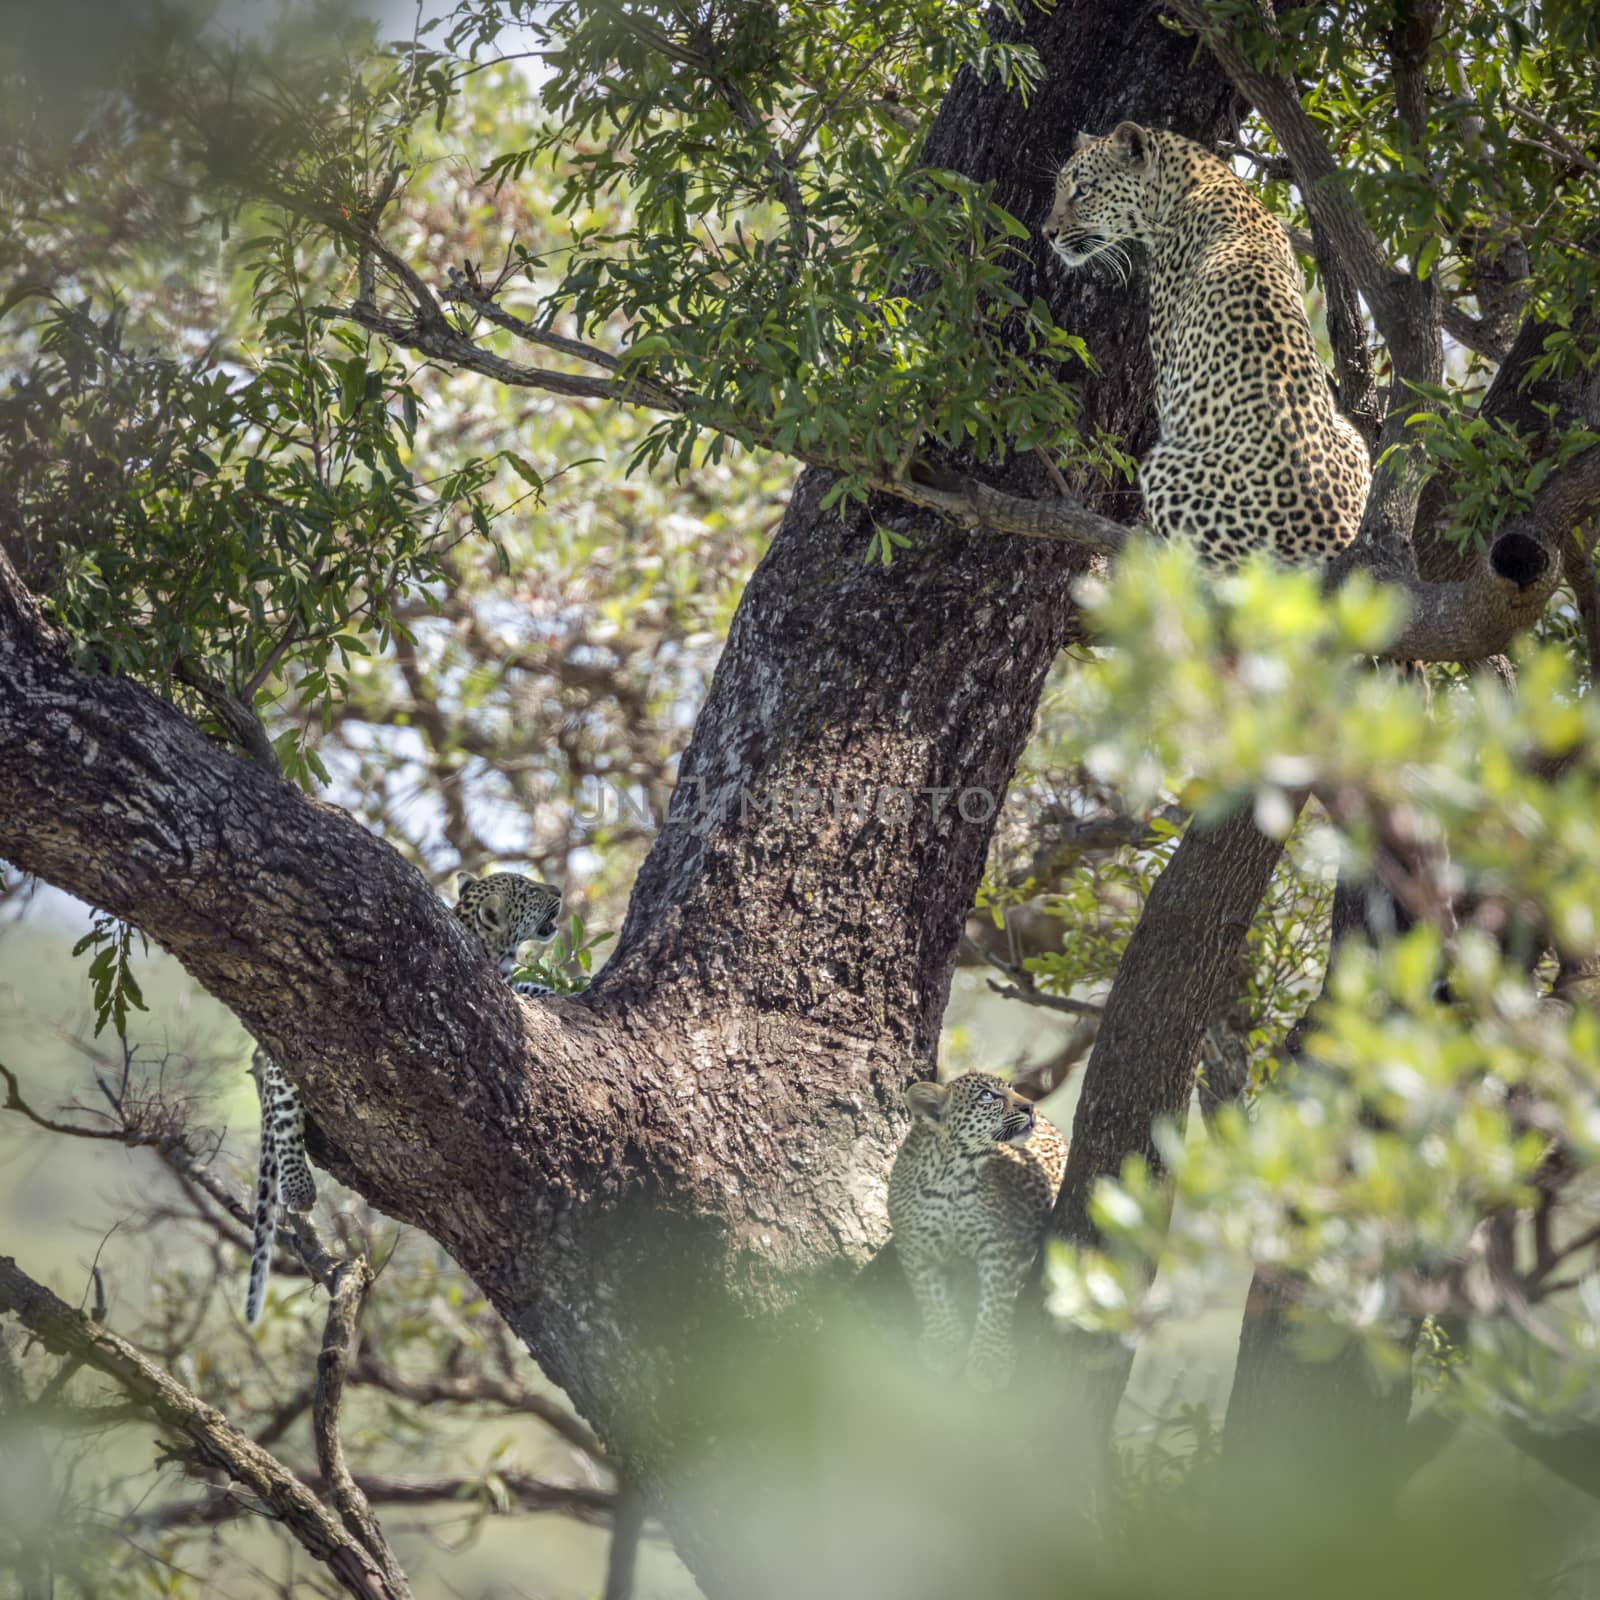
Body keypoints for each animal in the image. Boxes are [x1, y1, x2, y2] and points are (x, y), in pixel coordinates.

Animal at [236, 876, 563, 1324]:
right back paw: (300, 1187)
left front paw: (554, 991)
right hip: (288, 1065)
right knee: (285, 1118)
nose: (559, 892)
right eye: (527, 889)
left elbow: (525, 989)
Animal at [889, 1075, 1062, 1388]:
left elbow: (995, 1302)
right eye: (987, 1096)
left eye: (1012, 1088)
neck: (951, 1176)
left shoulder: (1000, 1244)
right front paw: (944, 1345)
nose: (1030, 1106)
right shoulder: (913, 1243)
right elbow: (930, 1295)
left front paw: (990, 1361)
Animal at [1036, 121, 1376, 569]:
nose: (1048, 234)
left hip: (1164, 469)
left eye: (1083, 190)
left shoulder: (1167, 375)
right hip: (1352, 434)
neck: (1195, 181)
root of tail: (1332, 541)